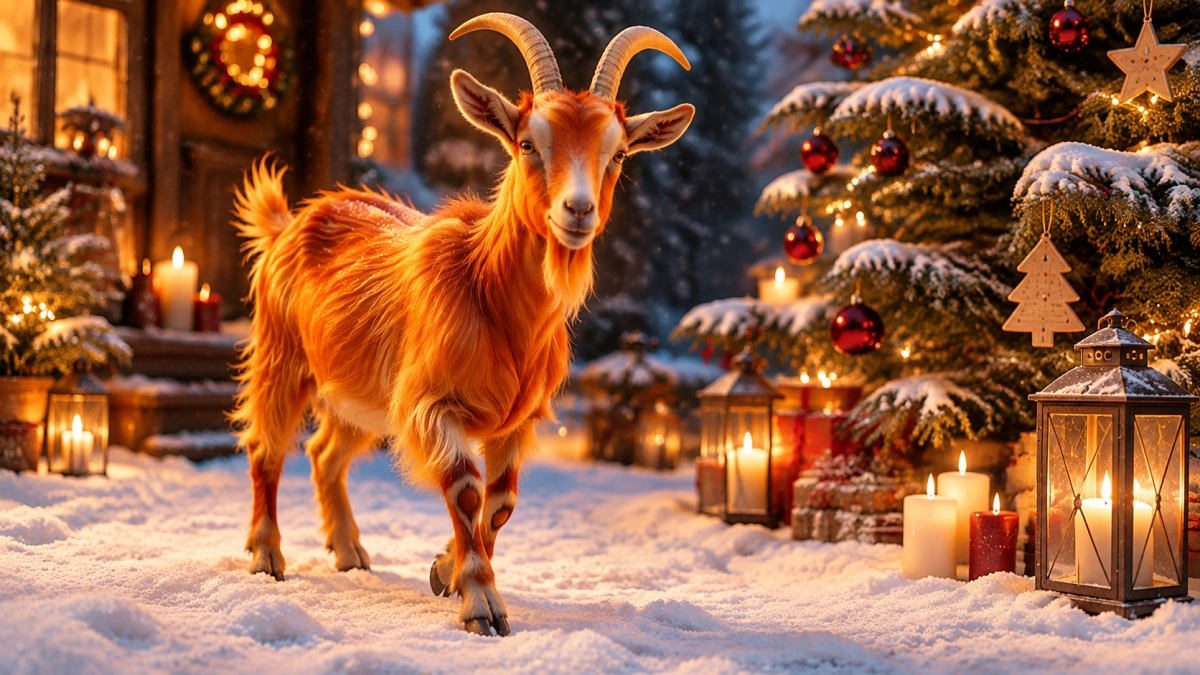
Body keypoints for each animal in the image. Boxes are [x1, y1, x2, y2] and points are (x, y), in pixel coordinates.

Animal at [229, 13, 694, 636]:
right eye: (527, 143)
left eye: (617, 154)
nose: (577, 211)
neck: (487, 289)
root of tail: (288, 222)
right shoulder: (429, 404)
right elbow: (469, 492)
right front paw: (480, 603)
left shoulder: (515, 422)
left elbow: (501, 504)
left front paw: (444, 569)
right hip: (281, 356)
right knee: (266, 449)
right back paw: (266, 555)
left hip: (362, 394)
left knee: (325, 453)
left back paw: (350, 552)